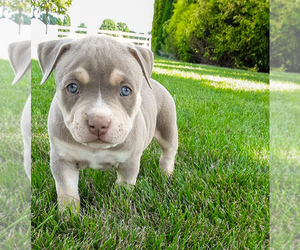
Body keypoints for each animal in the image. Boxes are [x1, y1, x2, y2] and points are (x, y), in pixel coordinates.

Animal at [37, 34, 178, 211]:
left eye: (125, 90)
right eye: (72, 87)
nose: (98, 122)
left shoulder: (129, 162)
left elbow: (124, 187)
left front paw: (118, 204)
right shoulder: (62, 159)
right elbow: (67, 191)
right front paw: (69, 214)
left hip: (168, 127)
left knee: (169, 152)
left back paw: (166, 173)